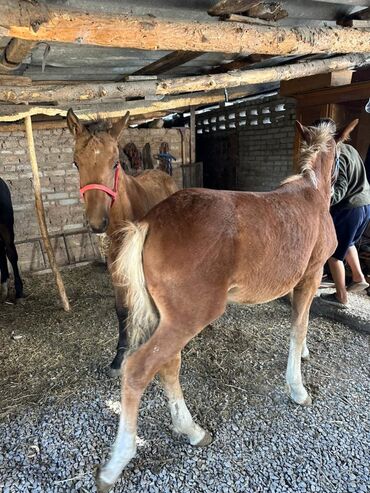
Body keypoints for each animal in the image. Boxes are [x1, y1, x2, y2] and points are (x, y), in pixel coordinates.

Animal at [67, 109, 179, 374]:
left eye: (115, 163)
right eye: (76, 163)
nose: (97, 222)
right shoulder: (115, 264)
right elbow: (122, 308)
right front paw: (119, 357)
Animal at [97, 120, 356, 492]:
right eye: (341, 157)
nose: (341, 190)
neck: (312, 192)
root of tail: (150, 222)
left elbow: (300, 321)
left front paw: (304, 356)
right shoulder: (310, 275)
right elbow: (299, 326)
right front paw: (298, 389)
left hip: (169, 318)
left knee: (168, 366)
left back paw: (192, 431)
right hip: (188, 317)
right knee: (138, 370)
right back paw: (116, 463)